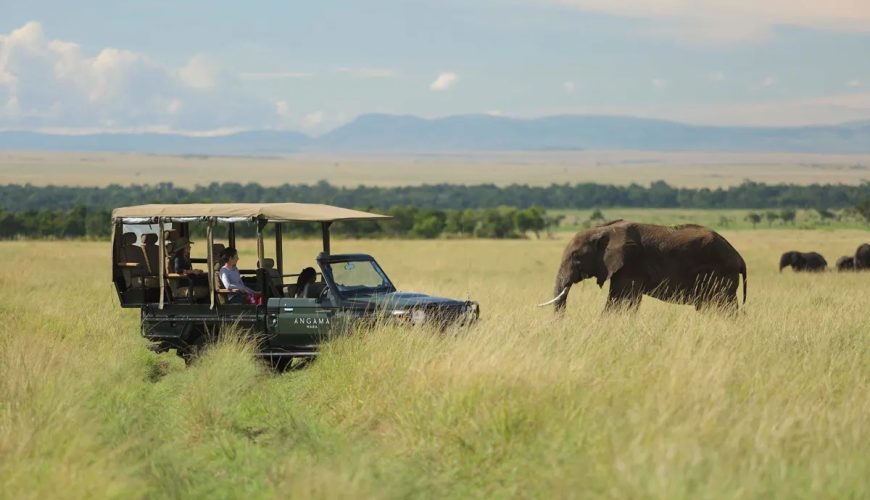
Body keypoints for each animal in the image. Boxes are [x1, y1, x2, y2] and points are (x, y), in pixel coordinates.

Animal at [540, 220, 748, 312]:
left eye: (576, 256)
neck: (604, 229)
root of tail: (739, 257)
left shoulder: (630, 265)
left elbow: (620, 302)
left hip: (721, 274)